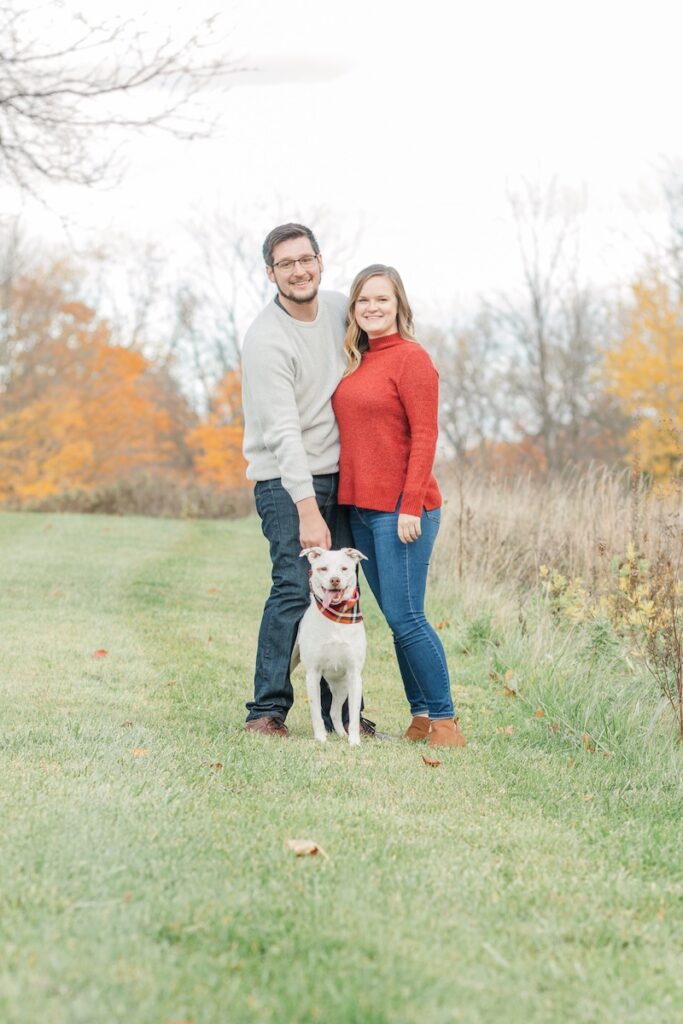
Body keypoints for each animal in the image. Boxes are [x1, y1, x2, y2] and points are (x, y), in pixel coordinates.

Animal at [294, 548, 368, 749]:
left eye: (344, 568)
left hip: (342, 686)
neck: (336, 616)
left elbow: (353, 714)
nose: (335, 580)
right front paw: (321, 738)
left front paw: (354, 741)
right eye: (323, 568)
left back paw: (342, 734)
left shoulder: (354, 675)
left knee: (335, 711)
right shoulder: (313, 674)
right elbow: (316, 712)